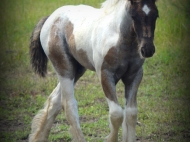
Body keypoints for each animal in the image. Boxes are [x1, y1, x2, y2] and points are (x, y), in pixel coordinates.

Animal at [29, 0, 158, 142]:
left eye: (156, 16)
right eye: (134, 16)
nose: (147, 49)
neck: (120, 38)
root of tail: (50, 18)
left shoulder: (134, 76)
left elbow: (131, 113)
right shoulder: (105, 75)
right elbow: (116, 114)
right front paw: (110, 139)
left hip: (77, 70)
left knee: (54, 101)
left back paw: (39, 137)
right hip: (64, 69)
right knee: (69, 105)